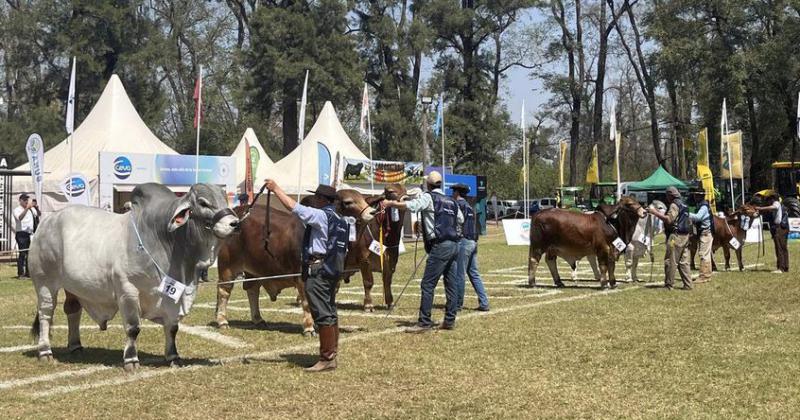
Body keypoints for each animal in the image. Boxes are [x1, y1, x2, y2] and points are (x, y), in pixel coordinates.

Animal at [28, 185, 241, 370]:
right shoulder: (127, 290)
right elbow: (133, 328)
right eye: (203, 202)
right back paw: (45, 352)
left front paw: (173, 357)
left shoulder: (173, 299)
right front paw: (131, 360)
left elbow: (172, 328)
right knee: (46, 314)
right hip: (44, 282)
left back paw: (76, 346)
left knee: (72, 310)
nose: (235, 223)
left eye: (225, 198)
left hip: (73, 286)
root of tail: (47, 220)